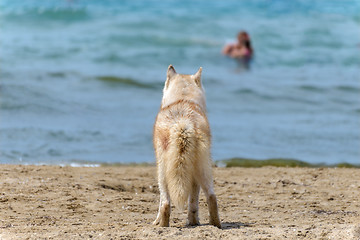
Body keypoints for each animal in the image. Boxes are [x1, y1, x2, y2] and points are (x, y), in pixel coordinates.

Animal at [151, 64, 219, 228]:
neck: (183, 98)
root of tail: (183, 123)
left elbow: (161, 204)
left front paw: (156, 222)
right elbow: (193, 204)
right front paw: (193, 221)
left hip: (162, 173)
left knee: (166, 203)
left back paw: (163, 226)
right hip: (203, 169)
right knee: (211, 197)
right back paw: (215, 225)